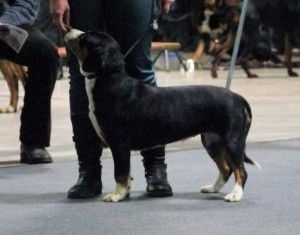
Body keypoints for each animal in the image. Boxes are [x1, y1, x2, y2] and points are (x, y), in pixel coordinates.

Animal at [65, 28, 260, 202]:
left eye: (84, 38)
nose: (67, 29)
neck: (111, 82)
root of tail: (236, 96)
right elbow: (127, 173)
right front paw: (125, 192)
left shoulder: (119, 143)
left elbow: (120, 172)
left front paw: (116, 195)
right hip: (212, 141)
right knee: (226, 169)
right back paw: (212, 188)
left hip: (232, 140)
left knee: (240, 171)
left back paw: (235, 195)